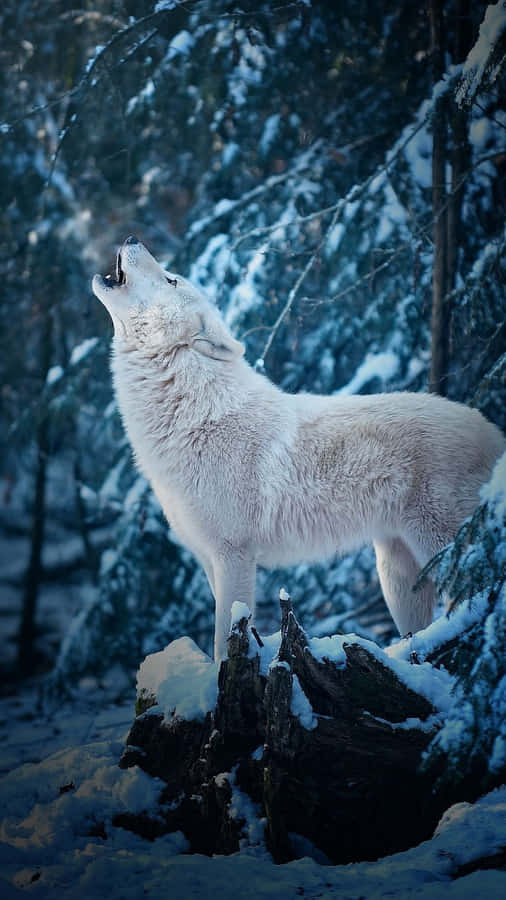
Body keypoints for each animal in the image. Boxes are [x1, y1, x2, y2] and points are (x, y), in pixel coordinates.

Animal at [93, 236, 505, 659]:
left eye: (171, 279)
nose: (132, 238)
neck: (192, 410)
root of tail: (491, 428)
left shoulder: (234, 556)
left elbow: (224, 640)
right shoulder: (208, 559)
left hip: (445, 553)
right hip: (398, 574)